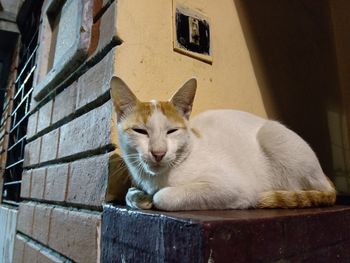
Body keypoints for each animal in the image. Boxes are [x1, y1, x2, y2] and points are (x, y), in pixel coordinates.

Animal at [110, 75, 336, 211]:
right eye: (140, 131)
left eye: (172, 131)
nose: (158, 152)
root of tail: (326, 178)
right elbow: (130, 195)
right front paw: (139, 197)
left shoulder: (233, 187)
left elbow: (162, 197)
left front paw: (152, 198)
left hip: (272, 136)